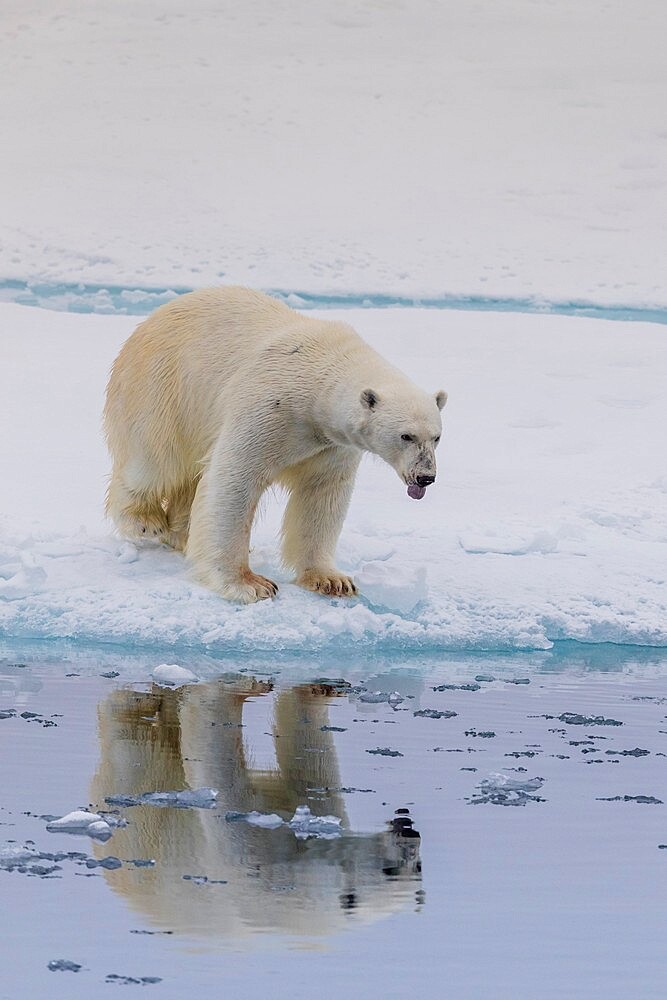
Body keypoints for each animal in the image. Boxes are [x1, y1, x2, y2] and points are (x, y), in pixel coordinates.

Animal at [104, 286, 448, 604]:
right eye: (406, 436)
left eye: (436, 437)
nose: (425, 477)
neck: (319, 380)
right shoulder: (268, 406)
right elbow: (235, 479)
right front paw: (249, 584)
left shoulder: (330, 444)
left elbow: (322, 495)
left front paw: (332, 580)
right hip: (162, 386)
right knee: (153, 462)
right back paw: (146, 522)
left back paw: (183, 534)